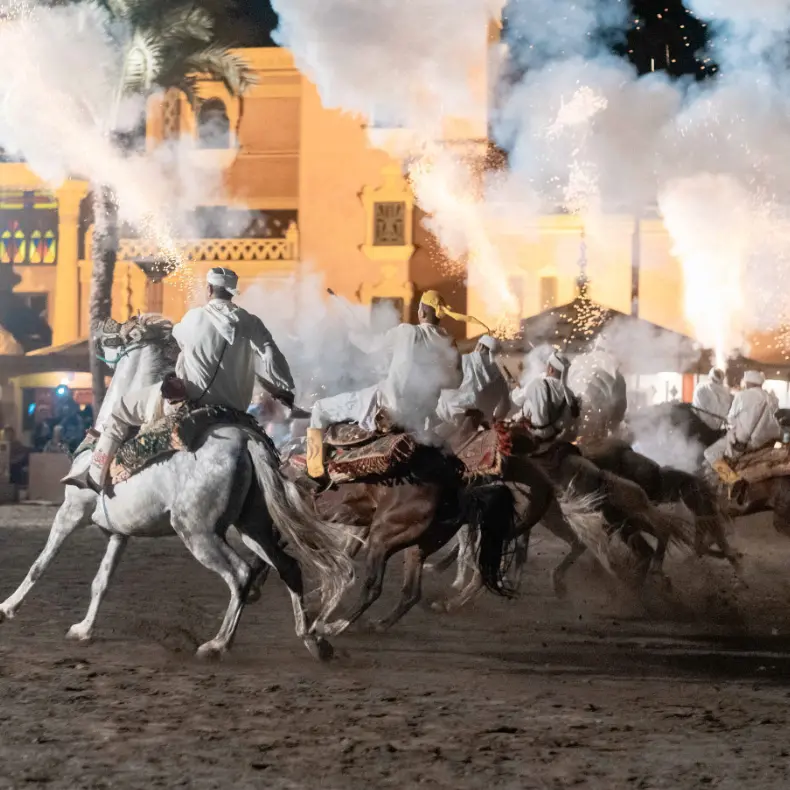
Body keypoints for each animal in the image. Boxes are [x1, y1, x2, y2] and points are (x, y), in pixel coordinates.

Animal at [0, 316, 352, 664]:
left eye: (124, 330)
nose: (100, 326)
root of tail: (245, 440)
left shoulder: (71, 511)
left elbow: (40, 564)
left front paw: (7, 608)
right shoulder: (119, 533)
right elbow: (101, 581)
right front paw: (83, 630)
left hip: (197, 531)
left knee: (240, 574)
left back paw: (216, 645)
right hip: (253, 526)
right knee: (287, 567)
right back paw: (313, 640)